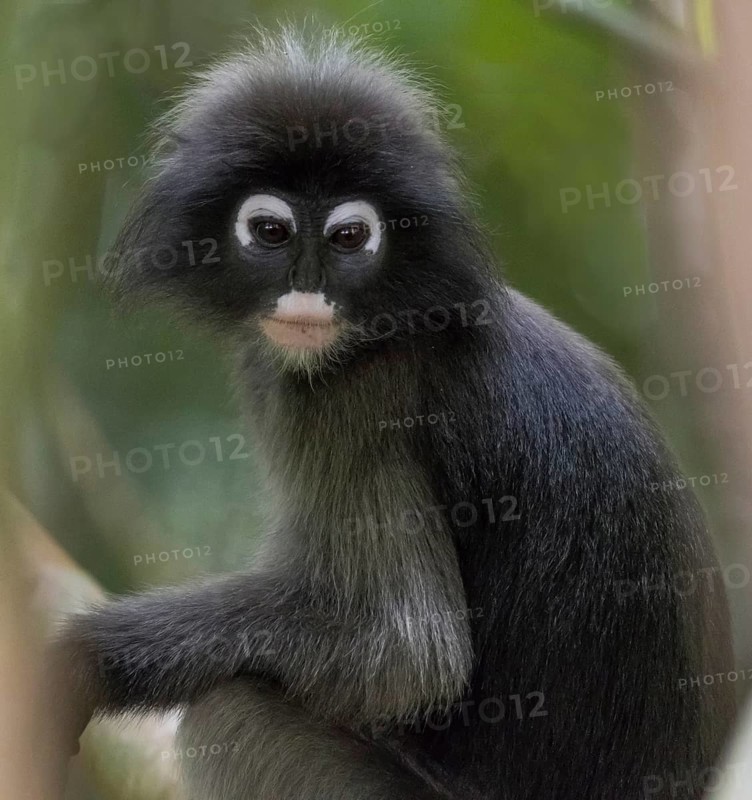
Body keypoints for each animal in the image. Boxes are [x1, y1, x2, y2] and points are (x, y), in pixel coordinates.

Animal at [52, 28, 736, 800]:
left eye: (350, 239)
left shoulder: (362, 396)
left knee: (230, 708)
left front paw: (88, 658)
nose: (307, 292)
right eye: (271, 231)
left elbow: (408, 648)